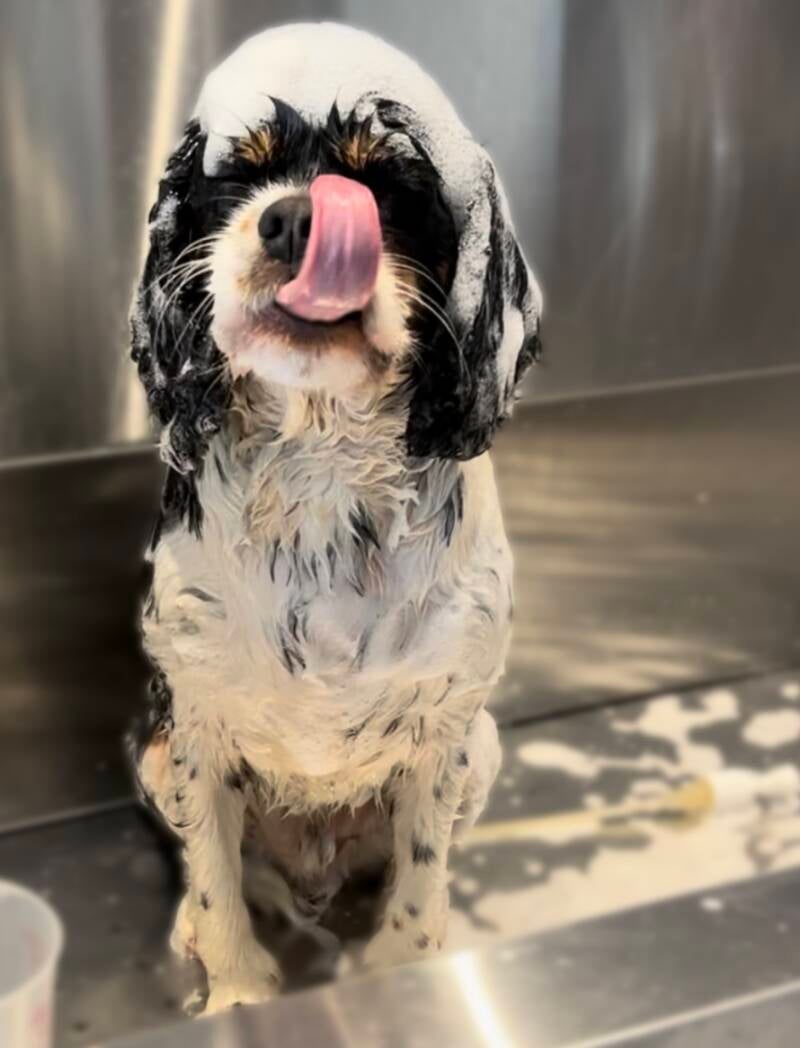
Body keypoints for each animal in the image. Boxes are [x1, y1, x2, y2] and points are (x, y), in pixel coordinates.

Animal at [129, 23, 541, 1014]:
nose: (294, 219)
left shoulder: (444, 731)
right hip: (156, 753)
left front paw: (403, 971)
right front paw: (237, 992)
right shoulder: (195, 723)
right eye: (238, 174)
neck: (321, 478)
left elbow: (420, 879)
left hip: (483, 749)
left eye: (385, 183)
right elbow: (216, 876)